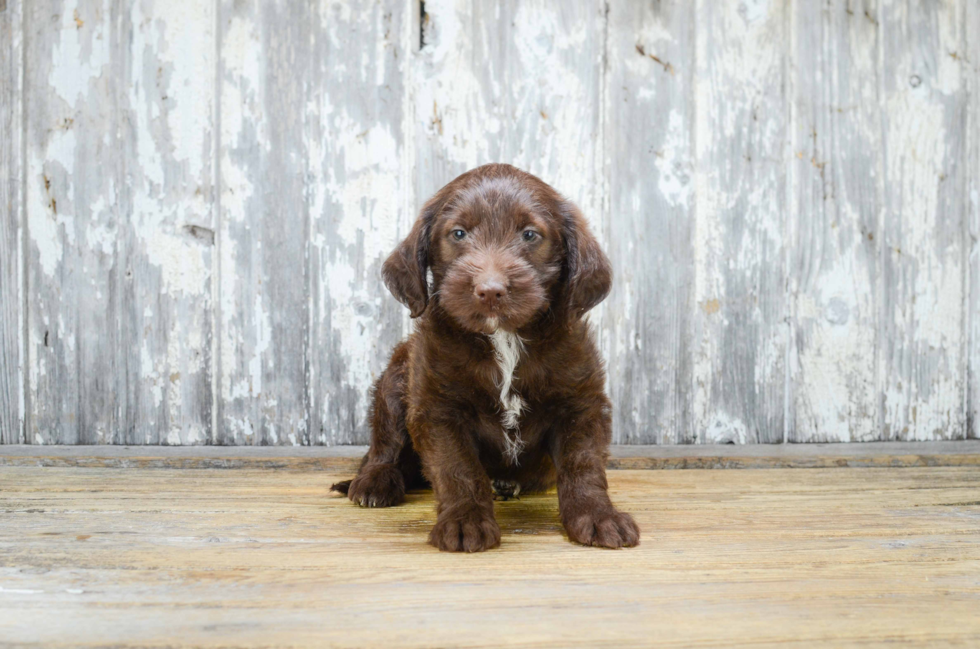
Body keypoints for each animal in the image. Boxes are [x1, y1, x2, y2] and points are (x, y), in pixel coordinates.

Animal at [334, 163, 640, 552]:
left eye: (529, 235)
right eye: (458, 233)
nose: (490, 291)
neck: (504, 338)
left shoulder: (580, 401)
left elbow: (583, 464)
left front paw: (597, 516)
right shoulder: (438, 406)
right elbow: (458, 467)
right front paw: (465, 521)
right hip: (396, 376)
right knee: (384, 443)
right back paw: (375, 481)